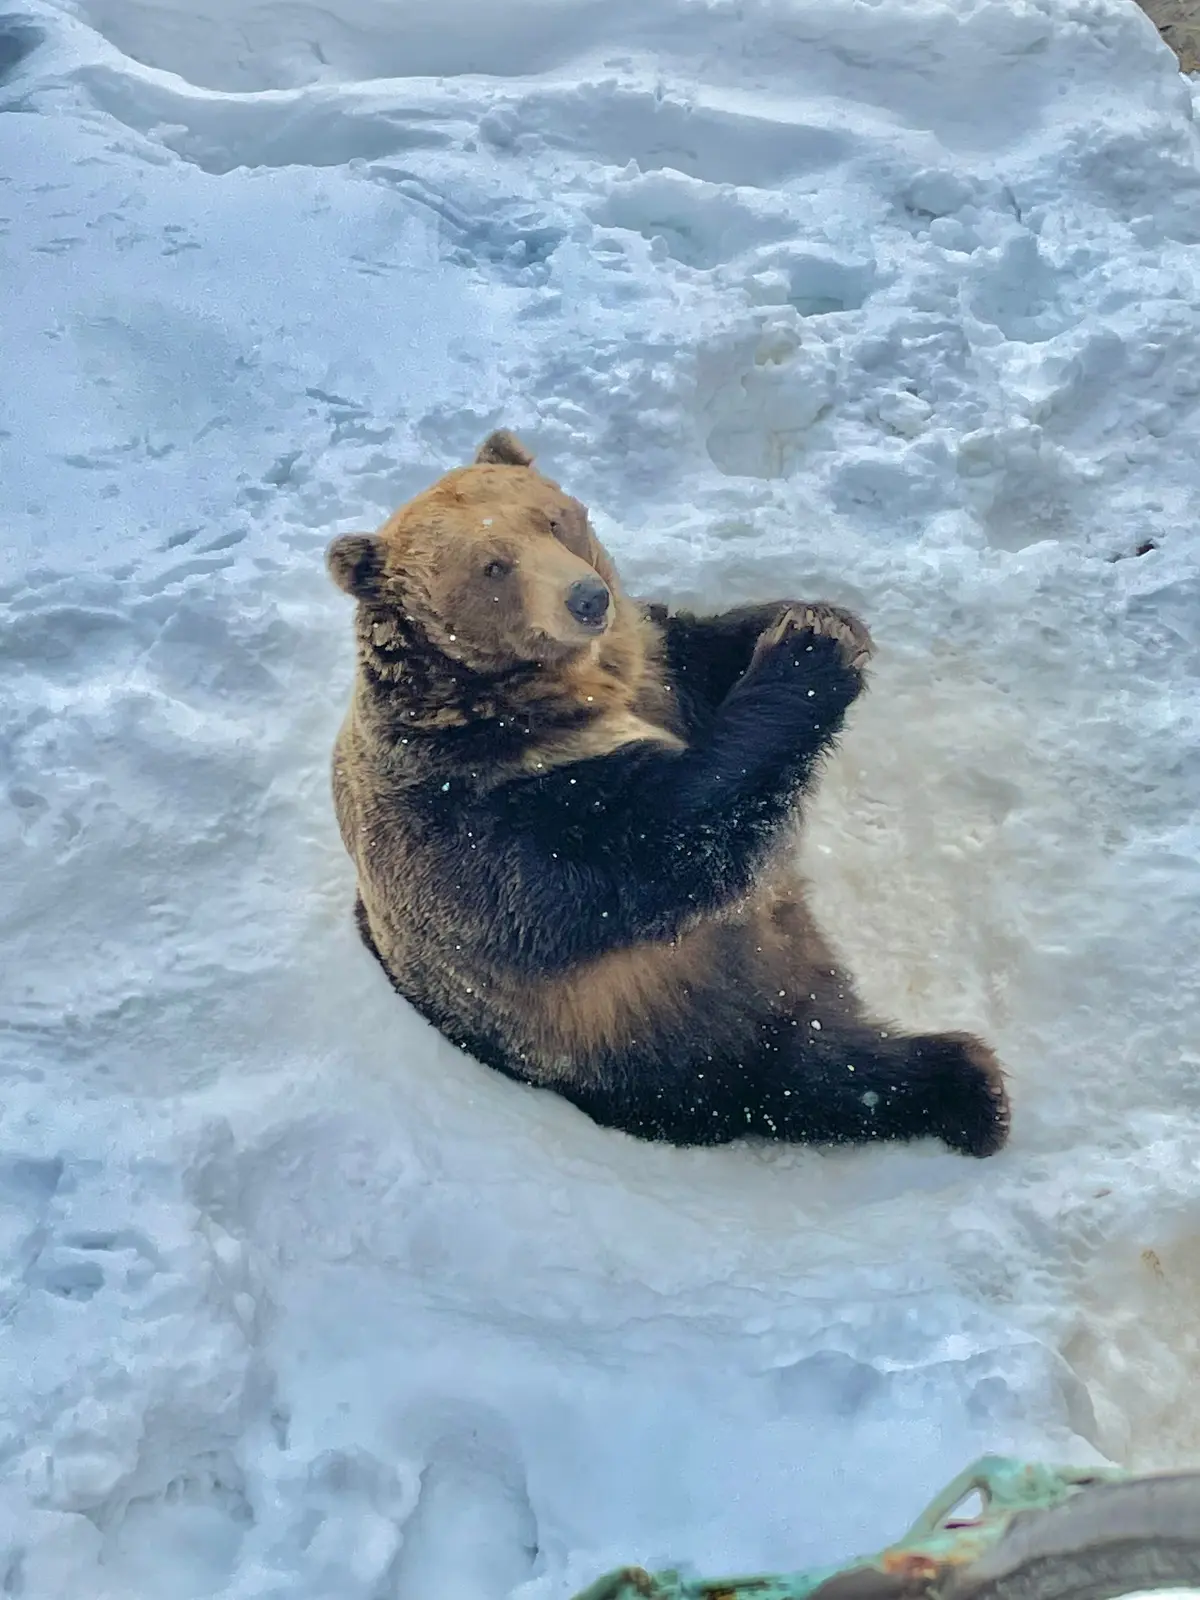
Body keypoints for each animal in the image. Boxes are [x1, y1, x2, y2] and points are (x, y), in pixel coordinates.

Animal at [324, 435, 1011, 1164]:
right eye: (493, 565)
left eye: (553, 519)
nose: (587, 597)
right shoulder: (490, 812)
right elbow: (669, 833)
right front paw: (810, 652)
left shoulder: (658, 668)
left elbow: (702, 649)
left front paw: (816, 617)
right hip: (678, 1039)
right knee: (818, 1074)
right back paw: (969, 1089)